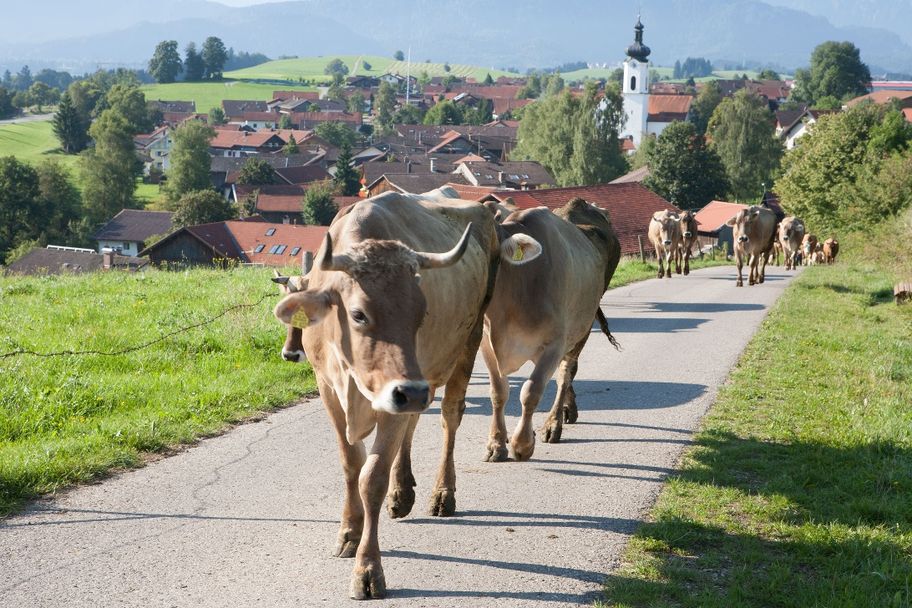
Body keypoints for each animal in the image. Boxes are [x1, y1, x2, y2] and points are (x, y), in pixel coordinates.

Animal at [271, 192, 540, 599]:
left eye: (421, 312)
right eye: (358, 314)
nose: (410, 390)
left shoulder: (397, 393)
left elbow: (372, 477)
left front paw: (368, 569)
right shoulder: (329, 389)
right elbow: (350, 463)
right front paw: (349, 531)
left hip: (465, 342)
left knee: (448, 415)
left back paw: (442, 493)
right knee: (412, 421)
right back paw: (403, 493)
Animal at [480, 198, 621, 462]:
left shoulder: (554, 344)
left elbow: (531, 391)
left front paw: (523, 444)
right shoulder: (486, 343)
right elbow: (498, 392)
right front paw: (496, 443)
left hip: (583, 324)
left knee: (566, 373)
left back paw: (554, 423)